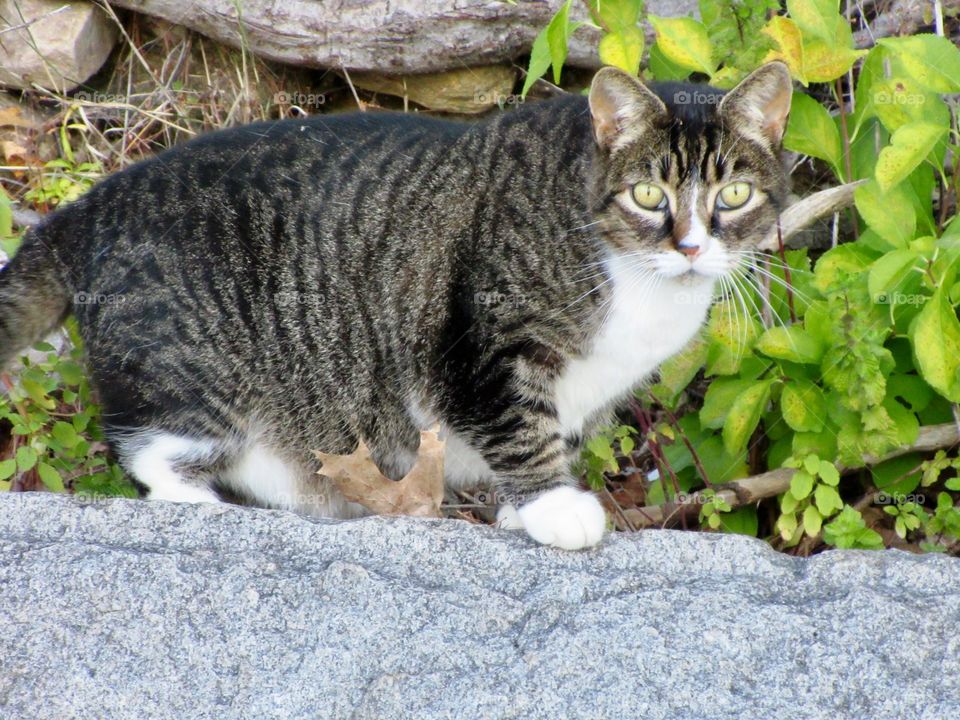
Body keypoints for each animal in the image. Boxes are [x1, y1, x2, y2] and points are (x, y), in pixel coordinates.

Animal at [0, 64, 792, 552]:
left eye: (735, 195)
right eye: (649, 195)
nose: (690, 246)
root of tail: (88, 206)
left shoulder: (585, 392)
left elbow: (554, 434)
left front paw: (519, 512)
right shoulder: (482, 340)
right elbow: (517, 423)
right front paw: (555, 506)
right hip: (192, 371)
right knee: (151, 449)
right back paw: (204, 504)